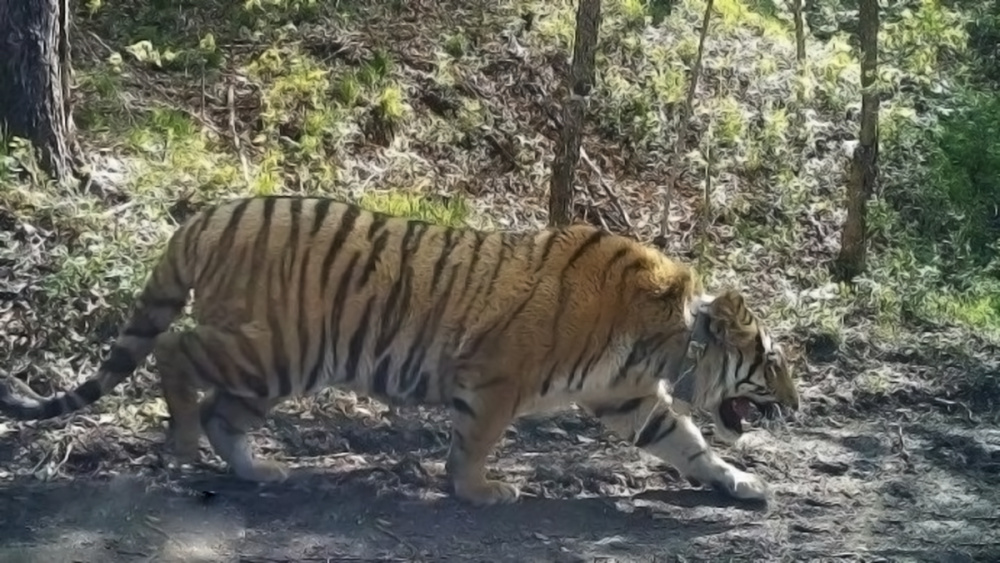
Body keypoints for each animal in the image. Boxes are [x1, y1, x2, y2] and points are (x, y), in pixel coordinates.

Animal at [0, 195, 796, 506]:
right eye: (772, 360)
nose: (794, 405)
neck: (663, 343)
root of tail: (208, 215)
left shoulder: (627, 399)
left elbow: (690, 443)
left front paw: (741, 483)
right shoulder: (498, 377)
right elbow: (478, 439)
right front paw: (477, 490)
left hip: (277, 365)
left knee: (225, 408)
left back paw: (258, 469)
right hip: (270, 348)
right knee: (174, 348)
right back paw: (185, 443)